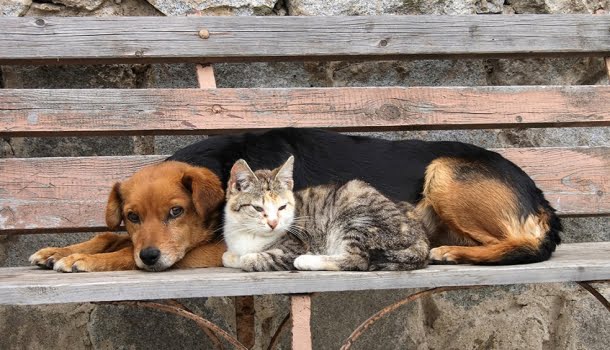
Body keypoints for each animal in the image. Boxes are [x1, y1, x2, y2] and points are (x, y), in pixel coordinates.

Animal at [29, 161, 226, 274]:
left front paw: (84, 258)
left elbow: (128, 253)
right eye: (132, 216)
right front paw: (56, 252)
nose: (148, 256)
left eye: (176, 211)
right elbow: (109, 236)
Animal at [220, 154, 428, 272]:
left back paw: (307, 261)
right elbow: (226, 257)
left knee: (358, 259)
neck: (249, 234)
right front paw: (232, 256)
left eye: (282, 207)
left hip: (358, 217)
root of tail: (420, 236)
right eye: (258, 208)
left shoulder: (294, 246)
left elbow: (251, 259)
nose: (273, 223)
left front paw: (246, 258)